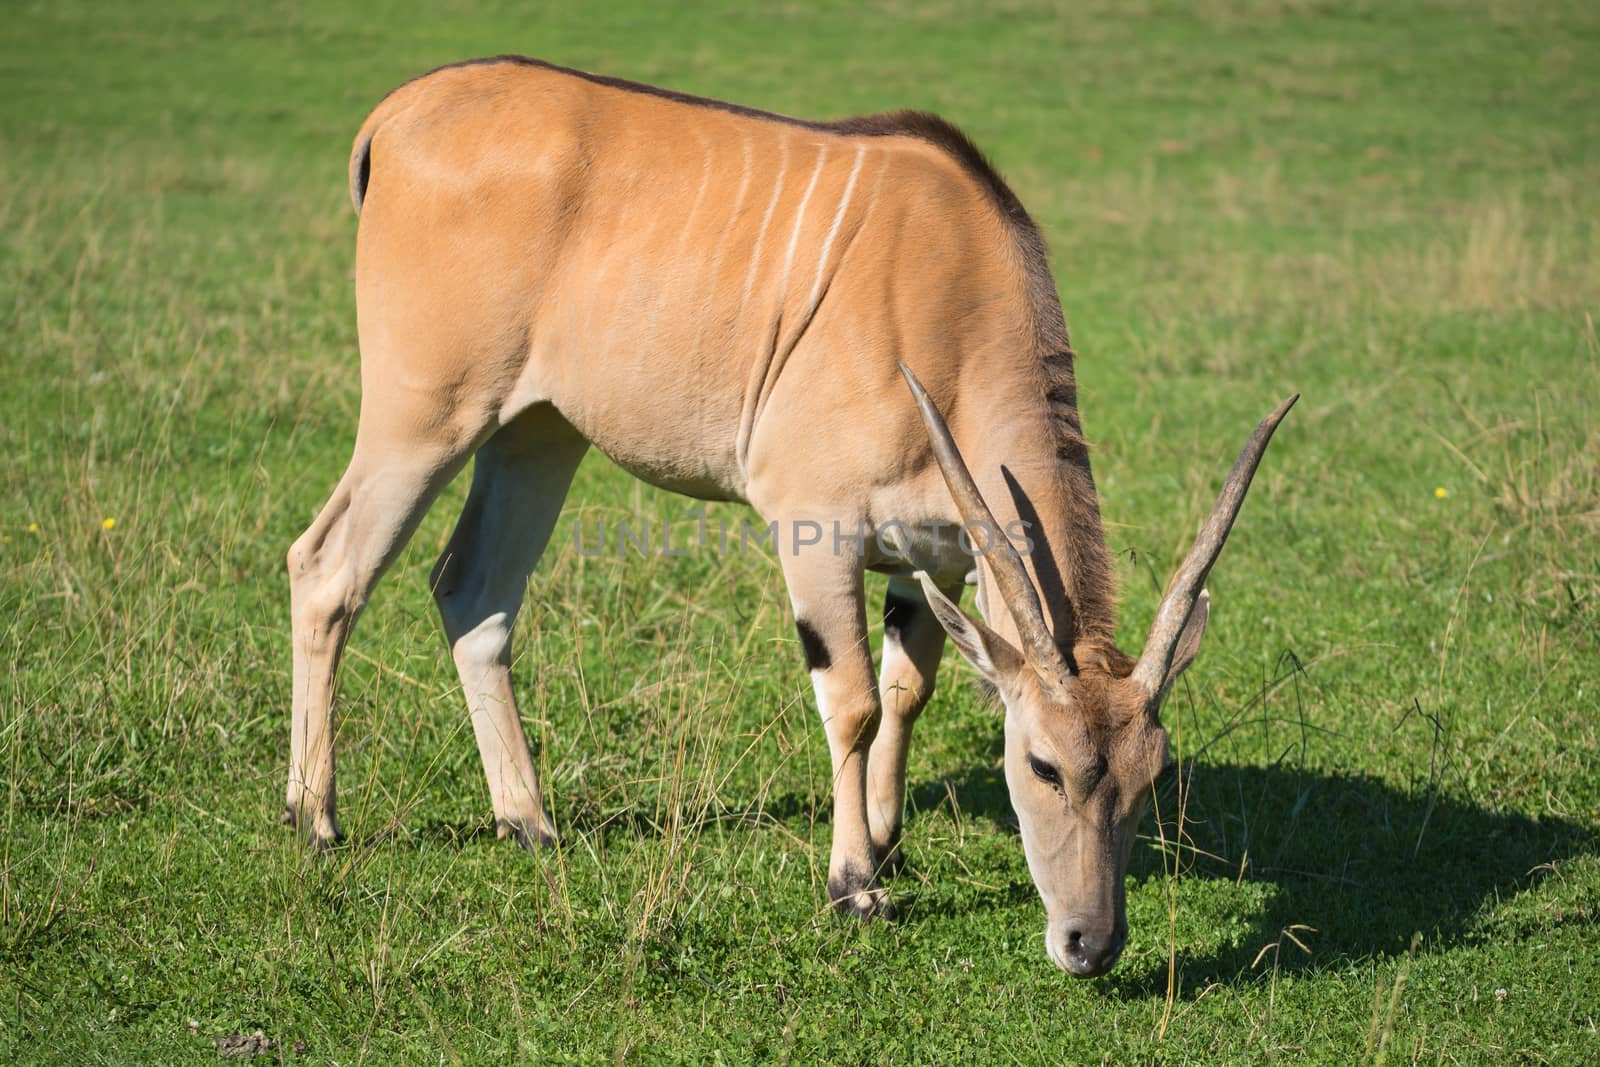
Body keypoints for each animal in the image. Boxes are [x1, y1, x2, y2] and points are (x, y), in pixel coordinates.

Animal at [281, 56, 1292, 979]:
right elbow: (851, 702)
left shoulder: (938, 559)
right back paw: (314, 819)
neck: (948, 291)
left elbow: (906, 690)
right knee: (326, 568)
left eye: (1152, 773)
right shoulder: (819, 532)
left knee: (475, 593)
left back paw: (528, 821)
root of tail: (400, 113)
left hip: (537, 432)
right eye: (1044, 765)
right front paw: (855, 883)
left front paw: (886, 840)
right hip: (424, 417)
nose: (1091, 942)